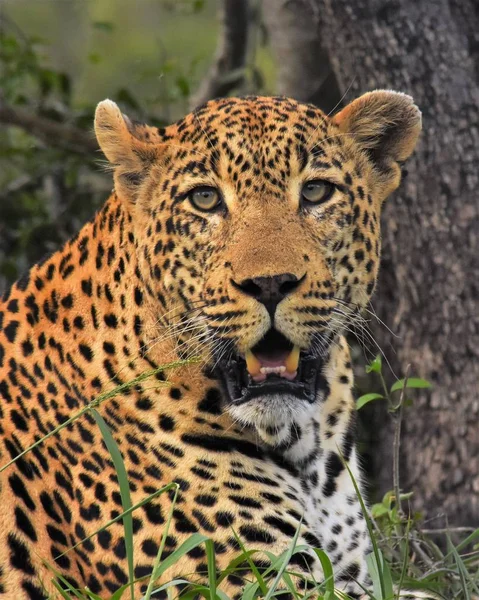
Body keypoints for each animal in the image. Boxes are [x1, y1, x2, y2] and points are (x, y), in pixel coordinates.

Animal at [0, 90, 436, 600]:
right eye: (205, 198)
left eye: (315, 192)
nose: (270, 283)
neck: (307, 450)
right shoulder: (248, 580)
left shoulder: (351, 573)